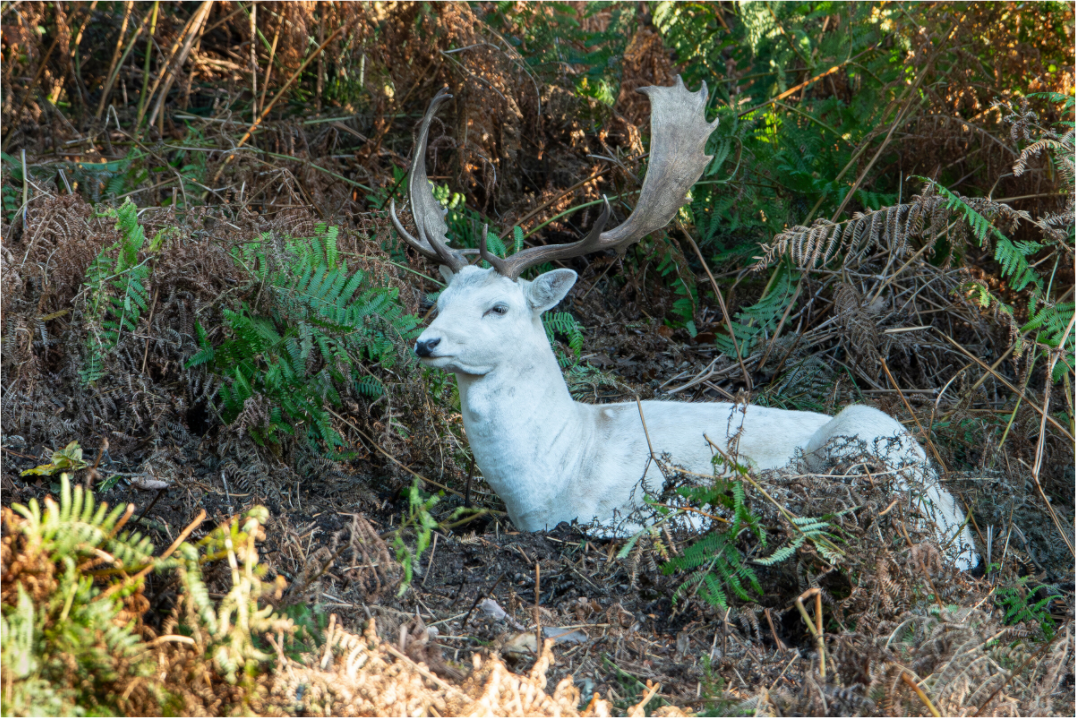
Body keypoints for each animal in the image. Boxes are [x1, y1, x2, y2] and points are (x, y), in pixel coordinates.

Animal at [391, 78, 979, 570]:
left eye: (499, 307)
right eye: (441, 299)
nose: (425, 343)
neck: (555, 476)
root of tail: (966, 534)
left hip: (863, 429)